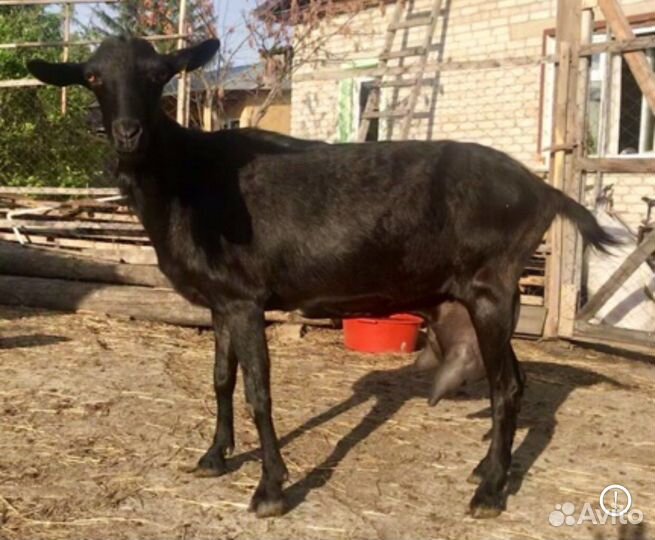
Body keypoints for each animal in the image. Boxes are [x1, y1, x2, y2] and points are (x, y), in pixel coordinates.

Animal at [28, 36, 615, 519]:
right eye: (93, 77)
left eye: (158, 75)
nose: (128, 133)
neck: (185, 181)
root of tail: (545, 193)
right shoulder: (221, 301)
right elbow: (220, 379)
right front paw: (214, 456)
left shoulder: (245, 299)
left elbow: (259, 391)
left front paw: (270, 489)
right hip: (483, 296)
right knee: (513, 380)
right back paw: (488, 470)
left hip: (493, 287)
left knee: (507, 386)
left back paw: (489, 493)